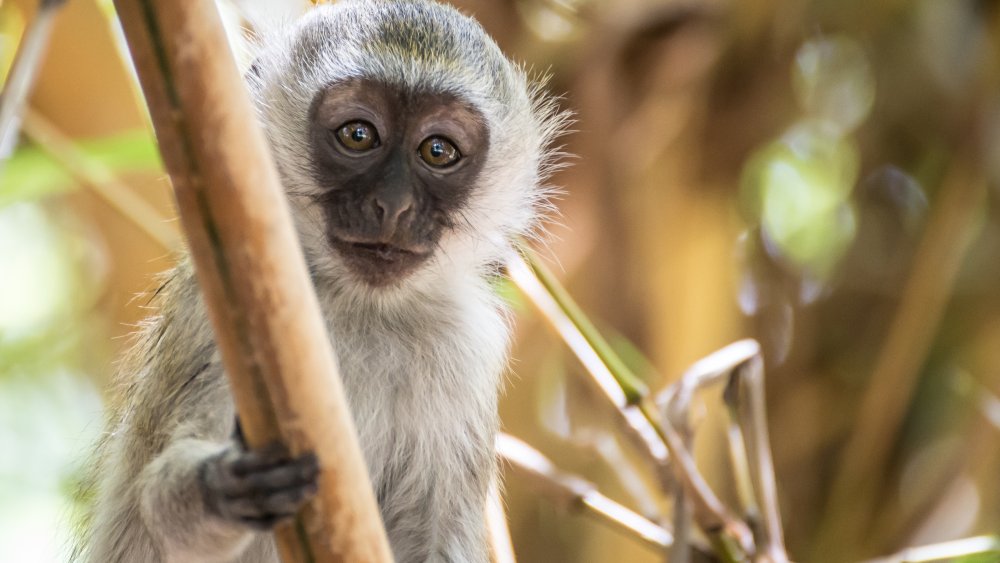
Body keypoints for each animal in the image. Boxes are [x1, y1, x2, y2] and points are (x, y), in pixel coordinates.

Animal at [78, 1, 568, 563]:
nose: (392, 205)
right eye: (358, 135)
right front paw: (222, 488)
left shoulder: (467, 350)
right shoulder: (214, 311)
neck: (360, 306)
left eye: (438, 151)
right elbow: (157, 516)